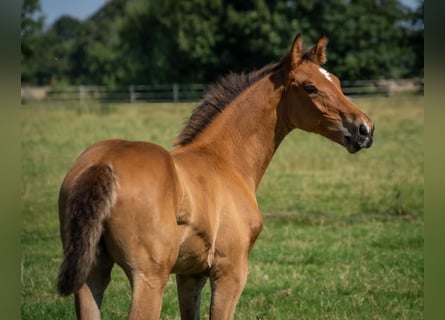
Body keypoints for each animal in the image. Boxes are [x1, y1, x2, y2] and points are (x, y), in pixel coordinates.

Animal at [57, 33, 372, 318]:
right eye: (310, 88)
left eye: (338, 82)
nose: (364, 129)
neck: (224, 160)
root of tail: (102, 165)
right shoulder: (230, 271)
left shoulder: (190, 274)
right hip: (148, 277)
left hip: (92, 273)